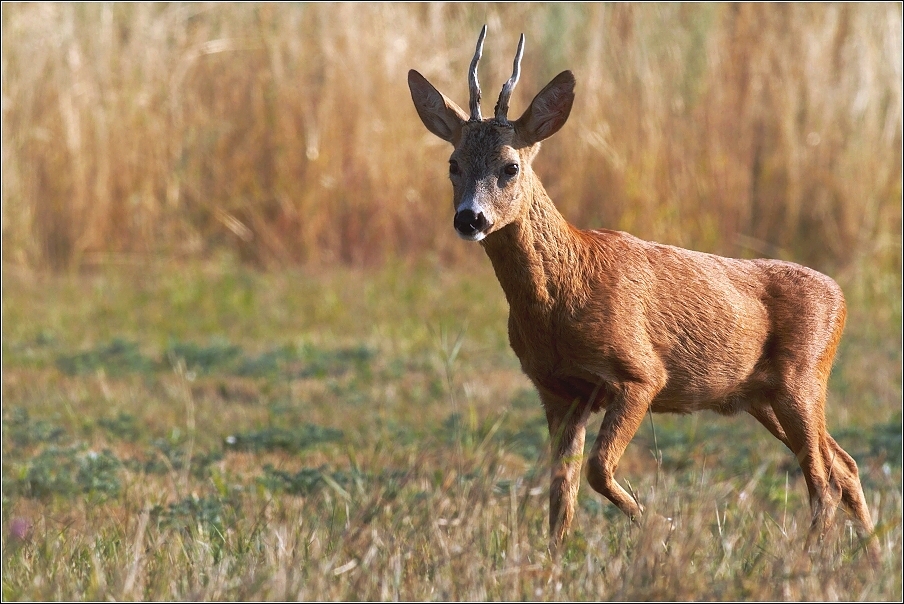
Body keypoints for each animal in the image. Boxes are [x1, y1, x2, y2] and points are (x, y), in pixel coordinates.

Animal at [406, 26, 880, 560]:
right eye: (453, 162)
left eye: (510, 167)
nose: (470, 218)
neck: (563, 296)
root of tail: (840, 294)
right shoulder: (557, 390)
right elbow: (561, 491)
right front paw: (554, 559)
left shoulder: (641, 374)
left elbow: (596, 469)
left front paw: (656, 523)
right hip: (764, 395)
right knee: (844, 465)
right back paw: (872, 556)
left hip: (802, 378)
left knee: (822, 478)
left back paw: (807, 557)